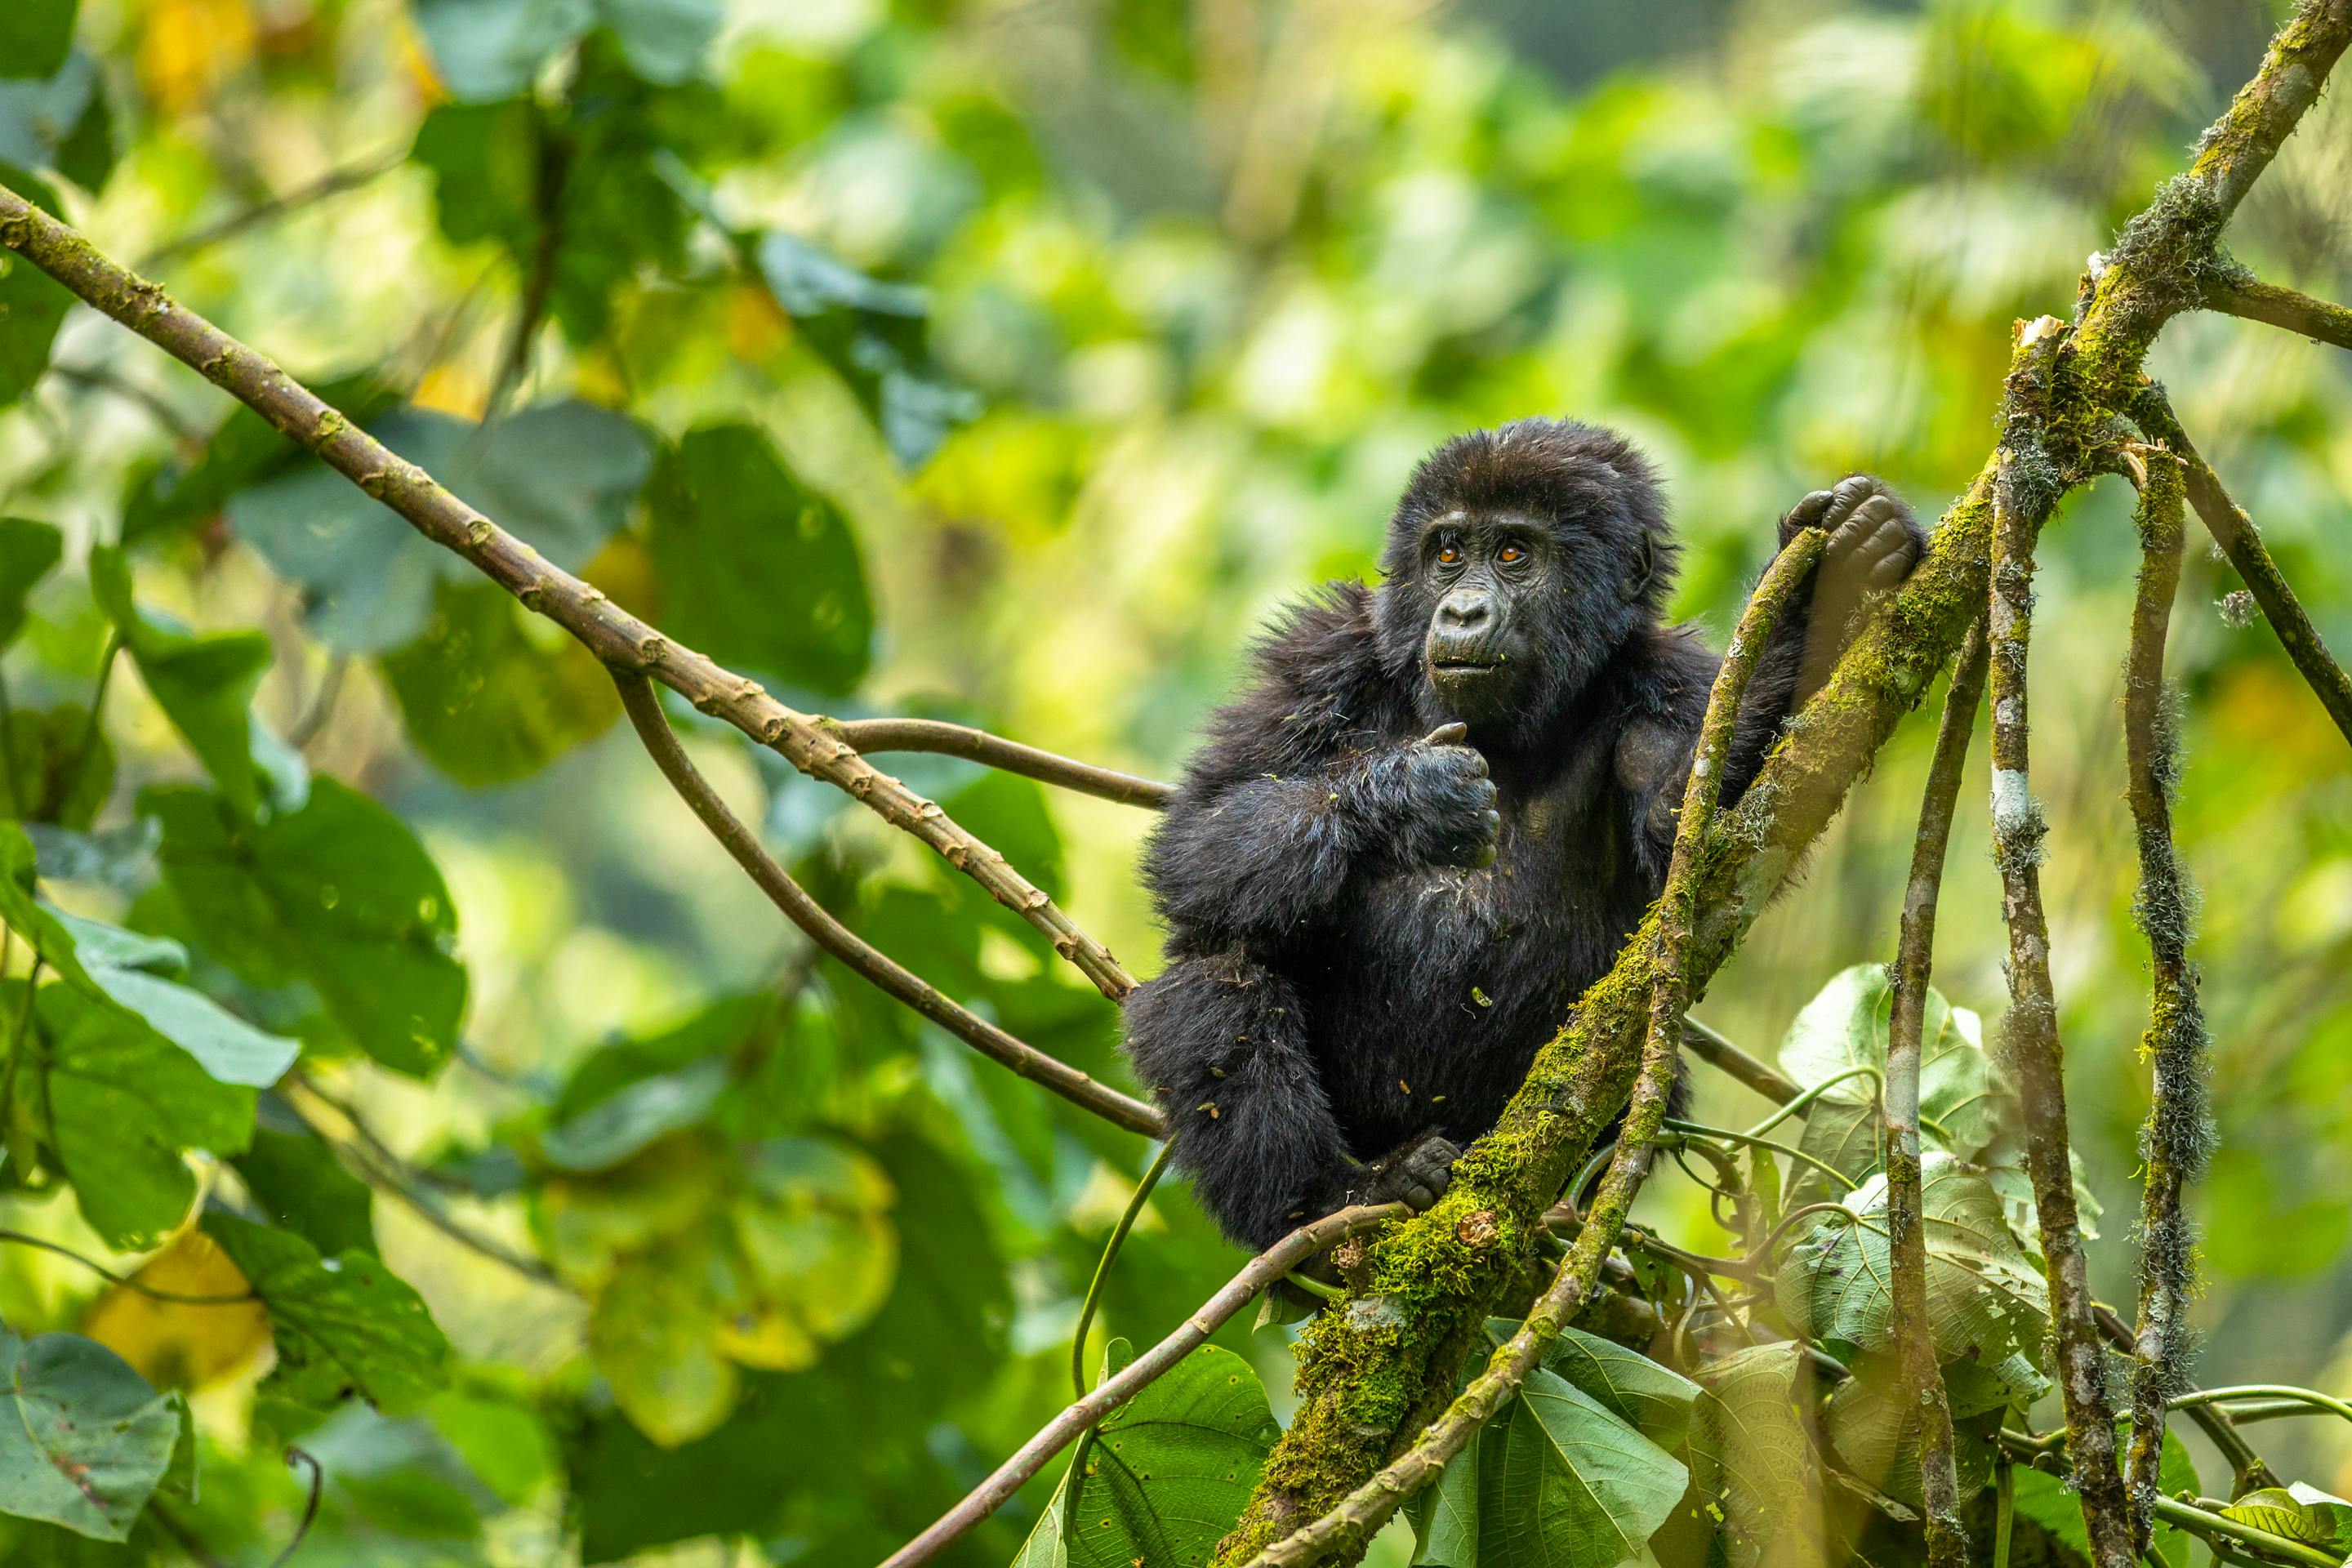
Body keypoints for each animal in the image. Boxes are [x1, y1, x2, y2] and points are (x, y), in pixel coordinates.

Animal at [1122, 418, 1924, 1248]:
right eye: (1448, 553)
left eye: (1513, 554)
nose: (1463, 613)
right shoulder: (1319, 658)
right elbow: (1200, 836)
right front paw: (1411, 797)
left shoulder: (1673, 681)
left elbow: (1697, 835)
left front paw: (1818, 595)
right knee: (1217, 967)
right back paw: (1334, 1197)